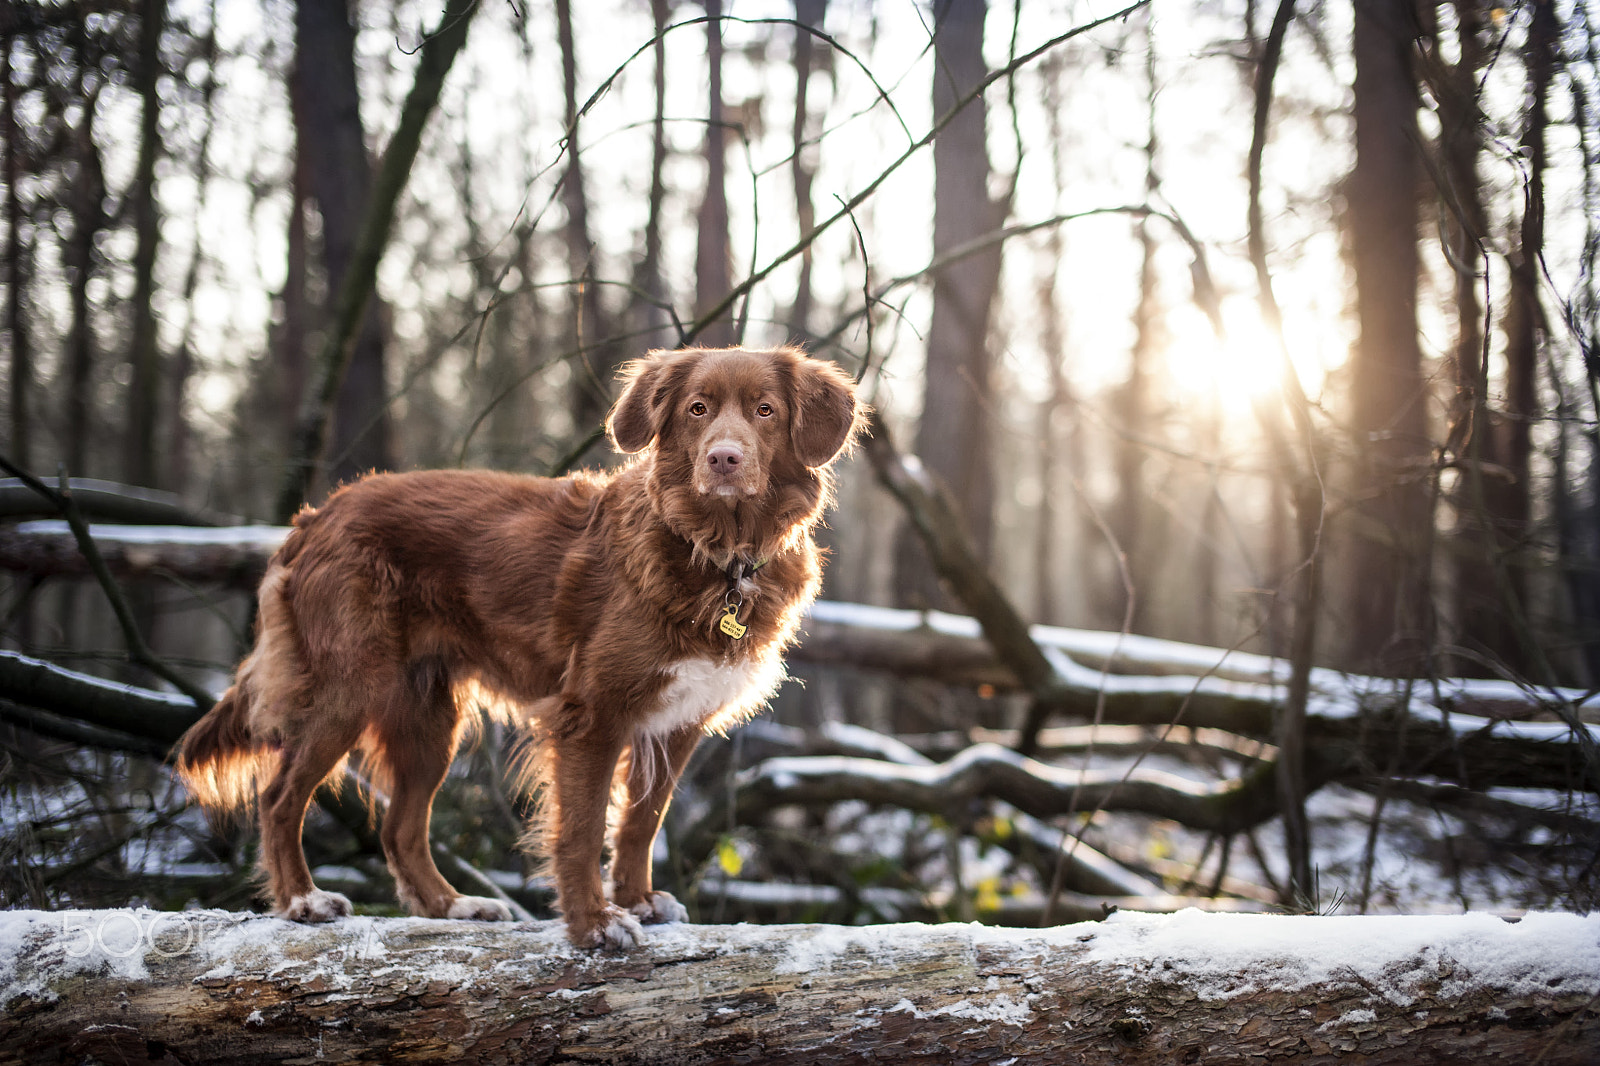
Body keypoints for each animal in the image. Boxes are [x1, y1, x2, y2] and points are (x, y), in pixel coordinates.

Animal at [175, 344, 864, 941]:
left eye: (764, 411)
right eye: (698, 409)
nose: (723, 458)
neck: (718, 553)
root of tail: (316, 516)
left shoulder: (677, 723)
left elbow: (641, 823)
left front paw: (639, 900)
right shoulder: (592, 715)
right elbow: (583, 829)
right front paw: (596, 925)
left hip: (429, 719)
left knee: (400, 828)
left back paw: (450, 905)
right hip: (349, 689)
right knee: (279, 797)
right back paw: (302, 900)